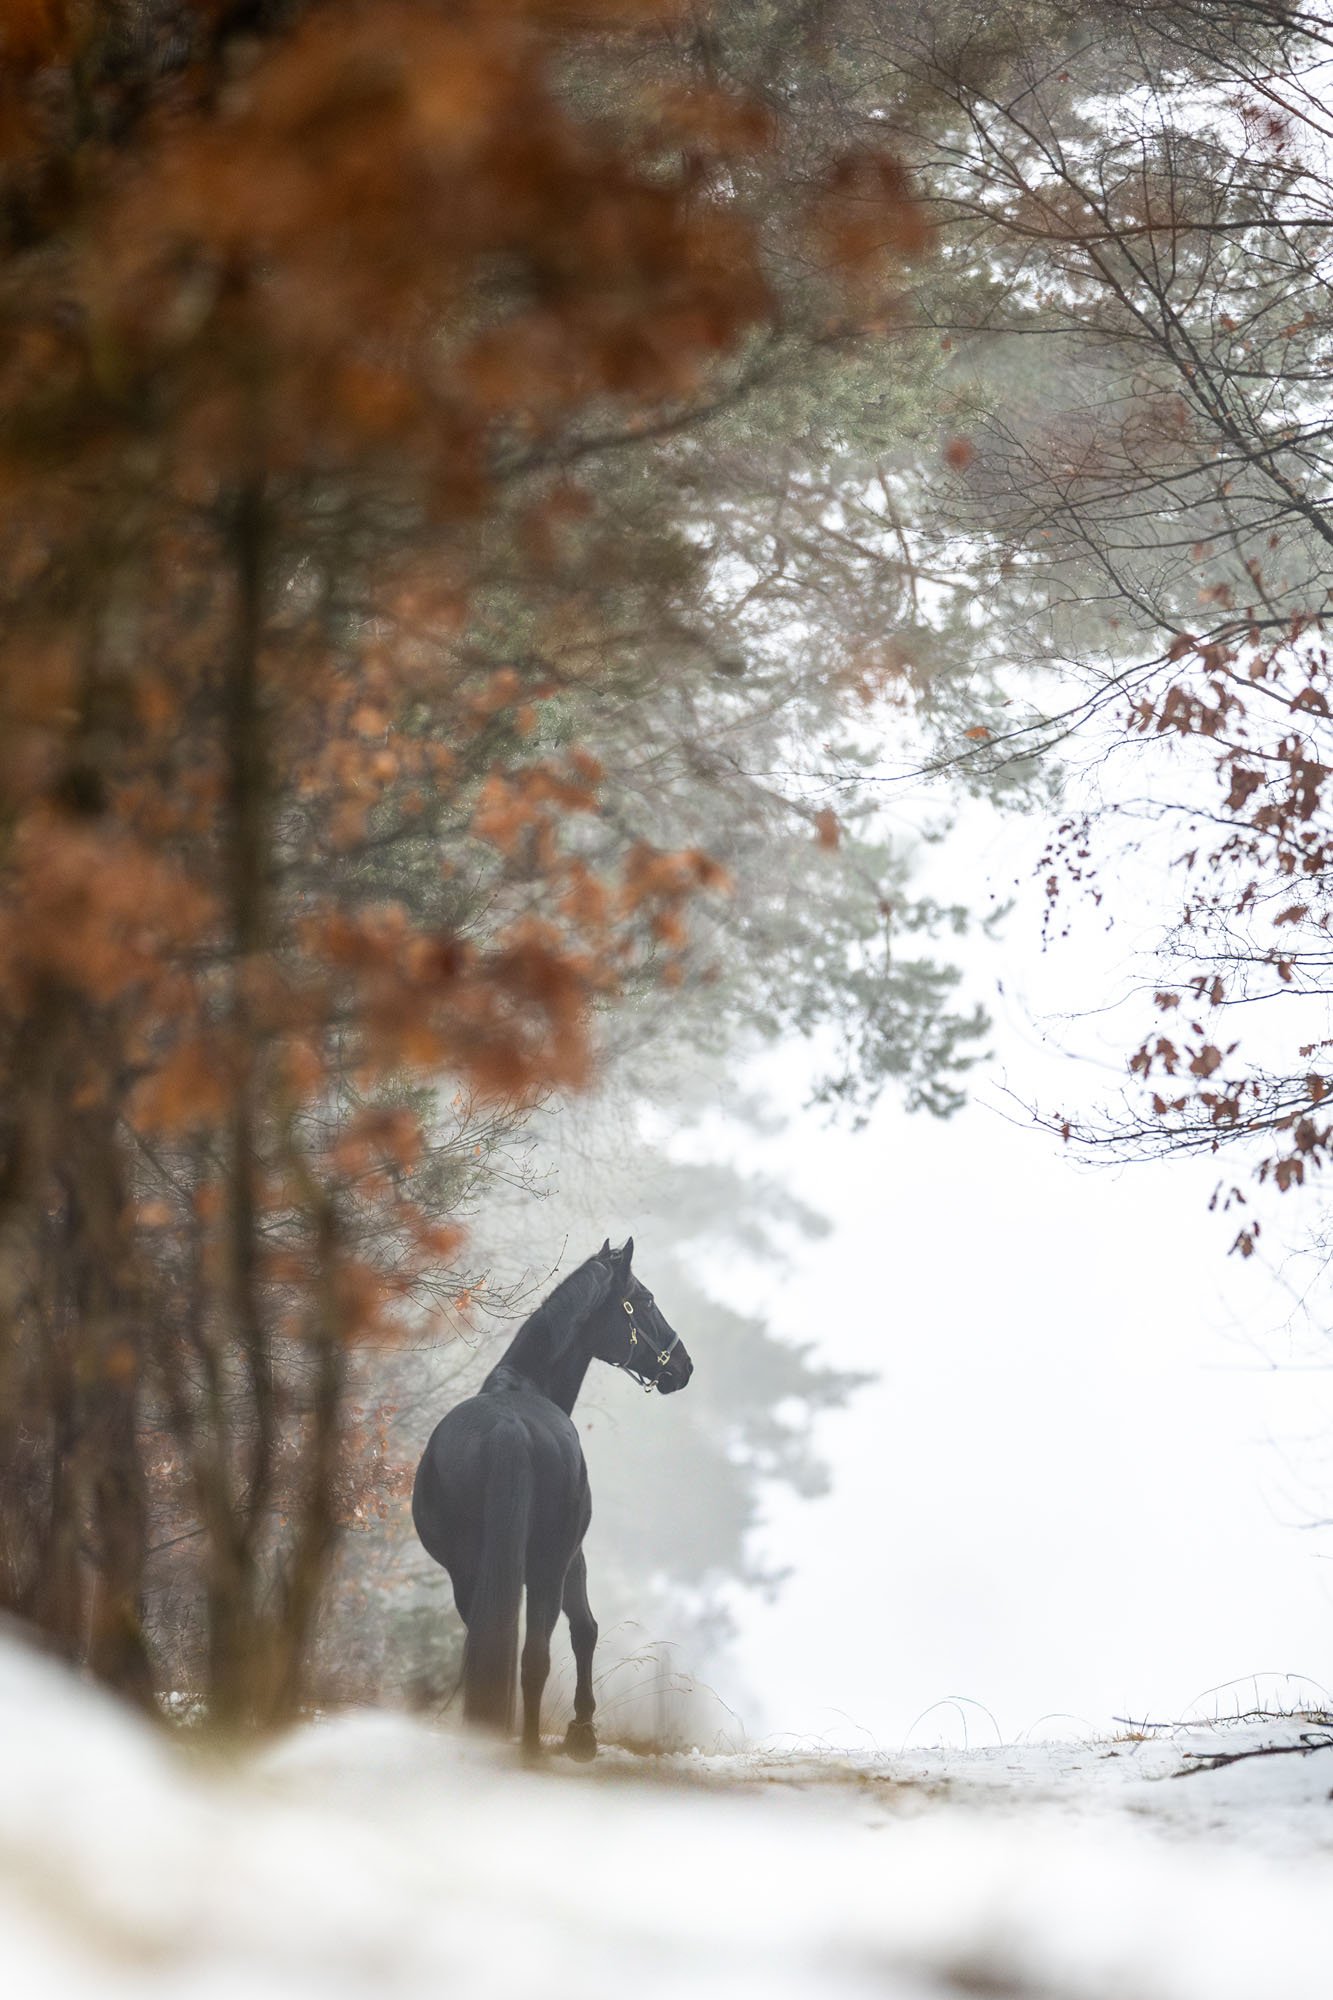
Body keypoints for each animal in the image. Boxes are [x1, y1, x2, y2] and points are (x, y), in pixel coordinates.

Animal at [411, 1237, 692, 1759]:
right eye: (644, 1301)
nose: (682, 1366)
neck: (523, 1384)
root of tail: (508, 1430)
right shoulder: (572, 1557)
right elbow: (585, 1628)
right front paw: (582, 1730)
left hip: (470, 1570)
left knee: (490, 1645)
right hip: (547, 1565)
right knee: (536, 1655)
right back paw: (530, 1748)